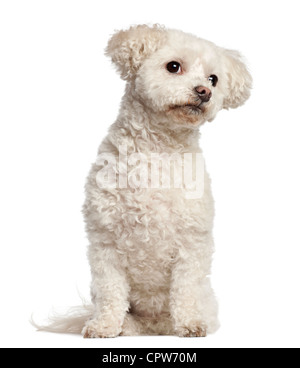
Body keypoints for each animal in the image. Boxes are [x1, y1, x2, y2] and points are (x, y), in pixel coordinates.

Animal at [36, 24, 252, 338]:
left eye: (214, 78)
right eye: (173, 66)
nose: (205, 92)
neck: (158, 150)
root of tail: (153, 326)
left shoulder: (192, 243)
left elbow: (186, 288)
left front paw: (190, 324)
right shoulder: (105, 243)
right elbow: (111, 291)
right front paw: (104, 326)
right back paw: (123, 326)